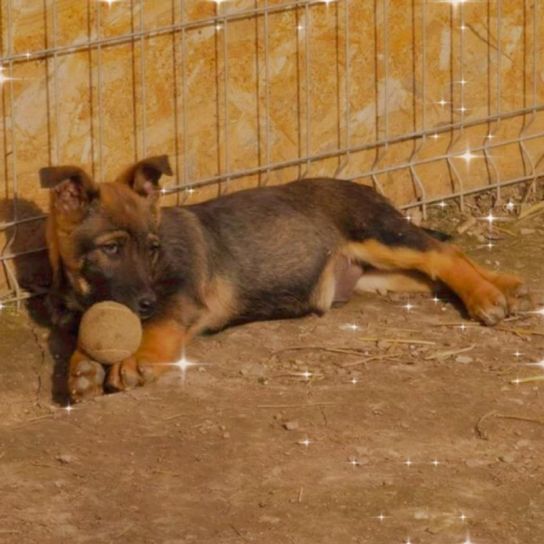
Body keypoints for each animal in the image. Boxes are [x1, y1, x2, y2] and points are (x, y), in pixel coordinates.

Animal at [40, 155, 528, 402]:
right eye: (112, 249)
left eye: (153, 248)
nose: (143, 302)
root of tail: (364, 185)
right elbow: (85, 337)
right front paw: (83, 367)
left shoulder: (181, 294)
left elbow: (161, 324)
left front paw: (137, 360)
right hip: (379, 273)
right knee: (434, 273)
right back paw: (505, 285)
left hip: (378, 233)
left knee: (444, 253)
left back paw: (488, 297)